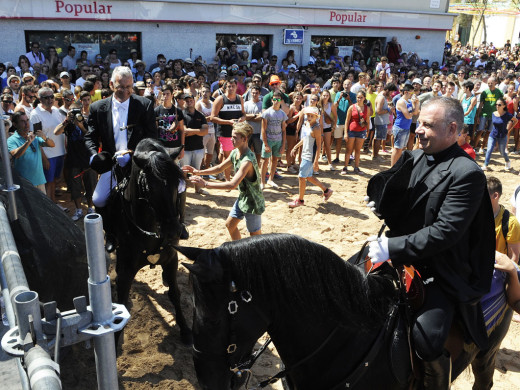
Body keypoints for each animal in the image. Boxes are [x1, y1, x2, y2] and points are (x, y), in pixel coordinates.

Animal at [110, 138, 192, 344]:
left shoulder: (171, 259)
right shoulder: (127, 270)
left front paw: (185, 330)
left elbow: (175, 294)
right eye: (149, 188)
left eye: (177, 184)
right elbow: (122, 302)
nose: (173, 232)